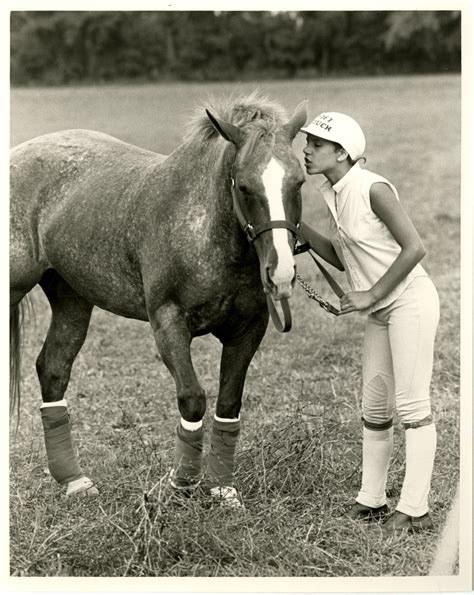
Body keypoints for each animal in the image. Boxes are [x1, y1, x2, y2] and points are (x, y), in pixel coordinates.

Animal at [10, 92, 308, 508]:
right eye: (245, 187)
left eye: (299, 181)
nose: (280, 274)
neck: (204, 231)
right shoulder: (168, 322)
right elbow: (193, 399)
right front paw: (182, 483)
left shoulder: (248, 331)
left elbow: (228, 403)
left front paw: (222, 488)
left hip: (72, 300)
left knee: (52, 370)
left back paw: (74, 481)